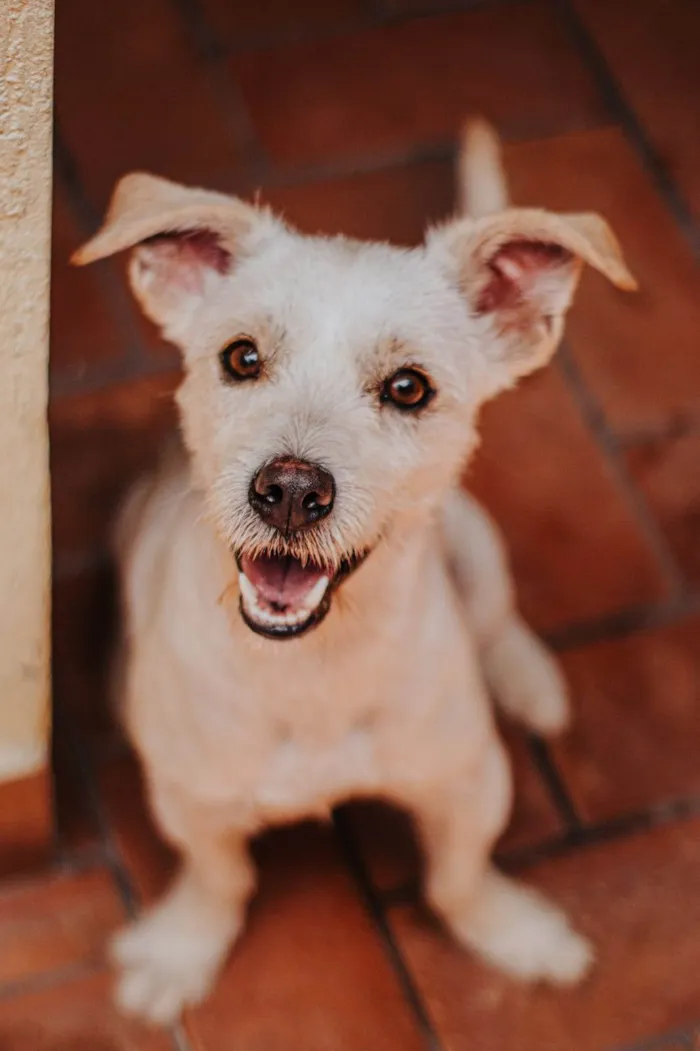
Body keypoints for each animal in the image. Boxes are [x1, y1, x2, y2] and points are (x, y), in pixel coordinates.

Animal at [73, 119, 634, 1021]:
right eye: (241, 358)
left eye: (408, 387)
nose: (290, 492)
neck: (315, 669)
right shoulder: (192, 802)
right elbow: (218, 879)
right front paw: (181, 950)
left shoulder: (469, 781)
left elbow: (459, 878)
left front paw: (515, 932)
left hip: (476, 545)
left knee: (497, 617)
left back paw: (529, 679)